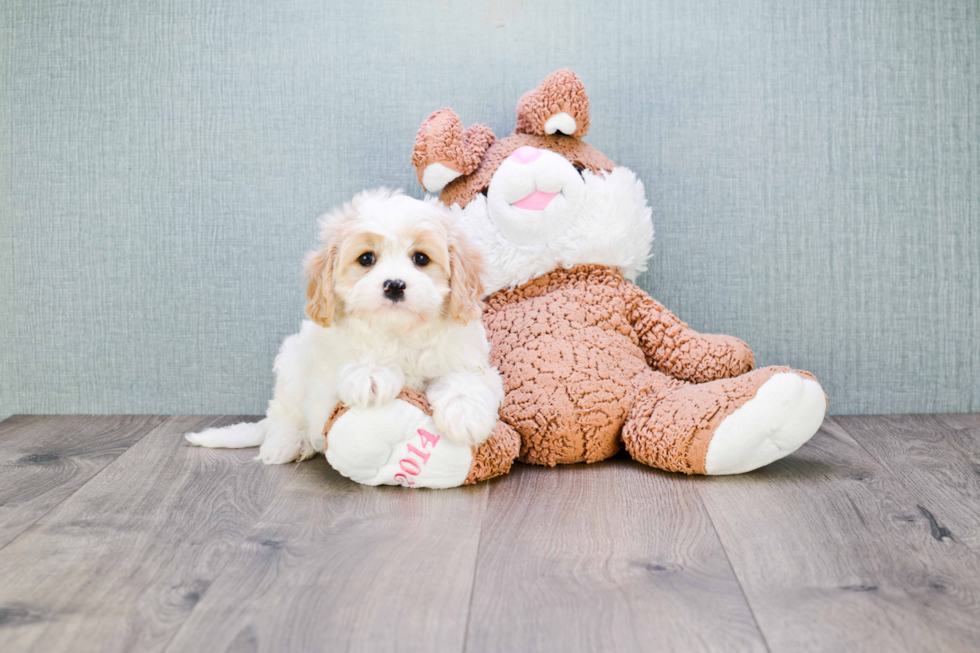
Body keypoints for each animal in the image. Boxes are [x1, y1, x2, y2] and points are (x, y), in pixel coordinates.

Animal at [186, 186, 506, 466]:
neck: (398, 332)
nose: (394, 285)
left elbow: (463, 377)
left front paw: (465, 411)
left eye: (421, 258)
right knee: (283, 414)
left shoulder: (469, 358)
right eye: (366, 258)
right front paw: (371, 374)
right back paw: (288, 442)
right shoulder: (323, 387)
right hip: (291, 365)